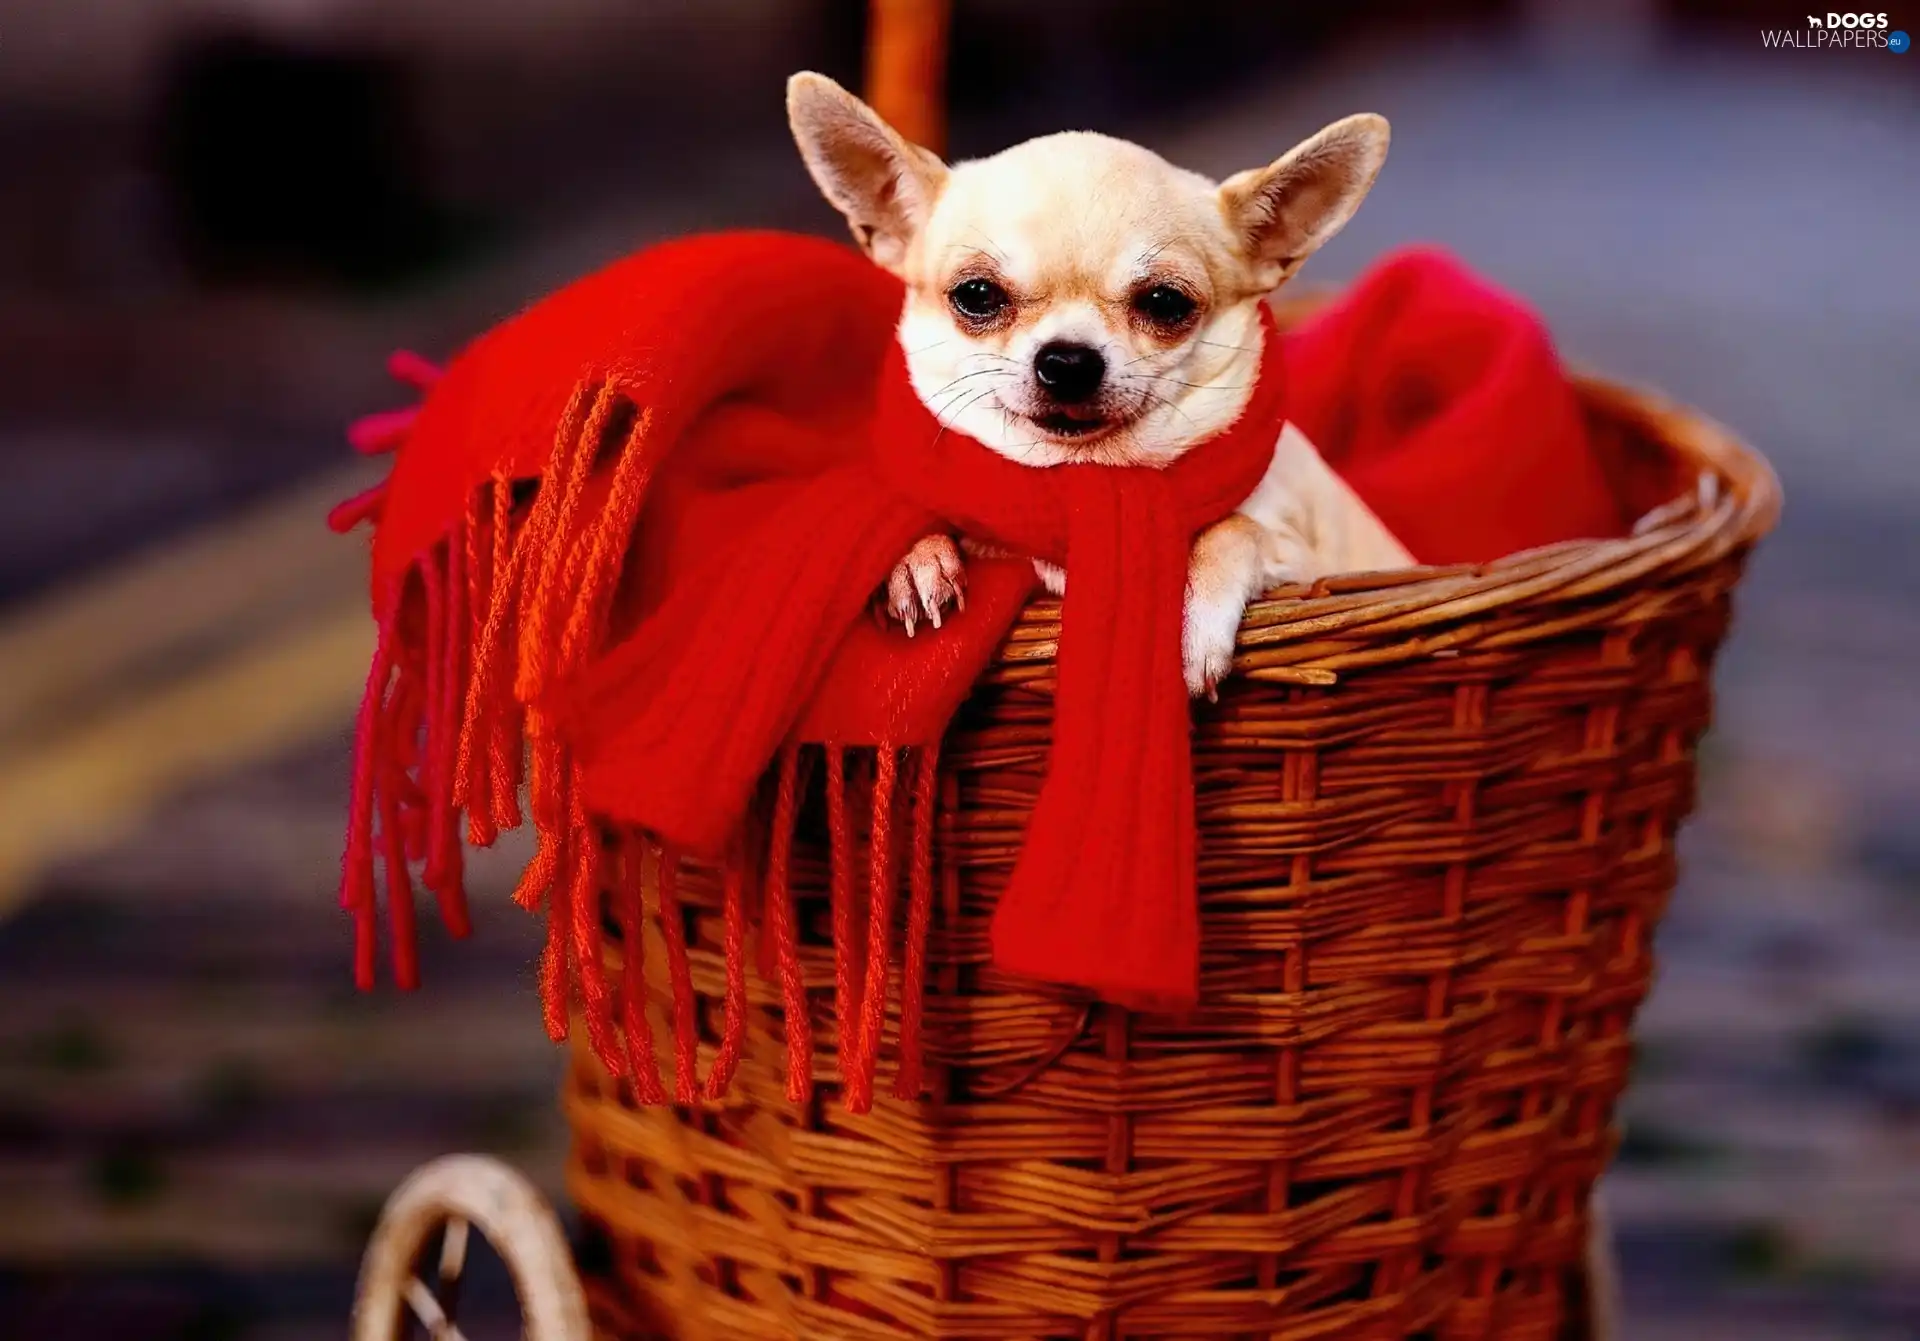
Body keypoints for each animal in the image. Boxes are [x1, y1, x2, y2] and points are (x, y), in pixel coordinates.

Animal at [783, 74, 1413, 695]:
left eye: (1166, 303)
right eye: (976, 295)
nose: (1067, 361)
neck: (1078, 481)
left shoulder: (1312, 562)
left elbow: (1234, 528)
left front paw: (1187, 623)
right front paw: (915, 559)